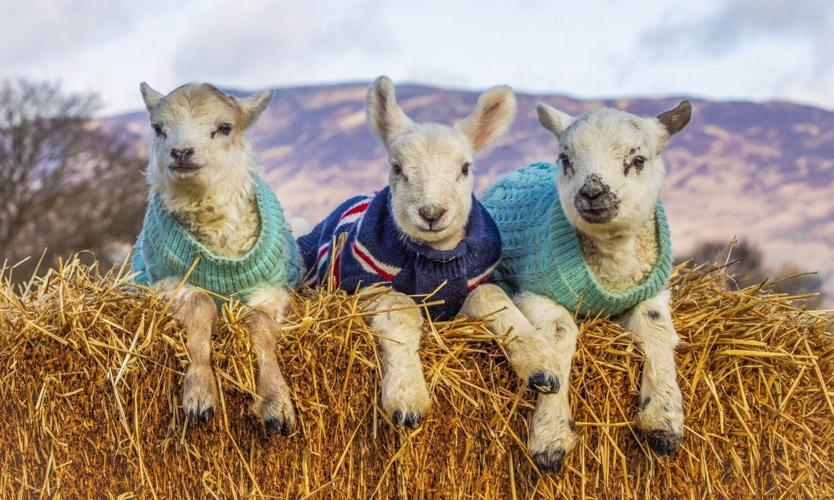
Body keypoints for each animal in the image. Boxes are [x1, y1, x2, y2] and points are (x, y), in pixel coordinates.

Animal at [132, 83, 302, 435]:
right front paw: (199, 394)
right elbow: (201, 306)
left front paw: (276, 402)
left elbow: (260, 326)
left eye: (224, 128)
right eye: (158, 128)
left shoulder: (272, 290)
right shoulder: (169, 283)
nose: (181, 152)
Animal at [297, 76, 516, 428]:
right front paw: (407, 399)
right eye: (397, 168)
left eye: (465, 168)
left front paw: (542, 366)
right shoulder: (367, 285)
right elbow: (400, 310)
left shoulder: (478, 282)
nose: (431, 212)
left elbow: (492, 301)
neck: (436, 258)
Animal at [463, 100, 692, 474]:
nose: (592, 192)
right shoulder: (534, 291)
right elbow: (560, 332)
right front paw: (551, 435)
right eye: (566, 159)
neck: (613, 267)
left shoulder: (650, 292)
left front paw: (663, 419)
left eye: (638, 160)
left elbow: (655, 328)